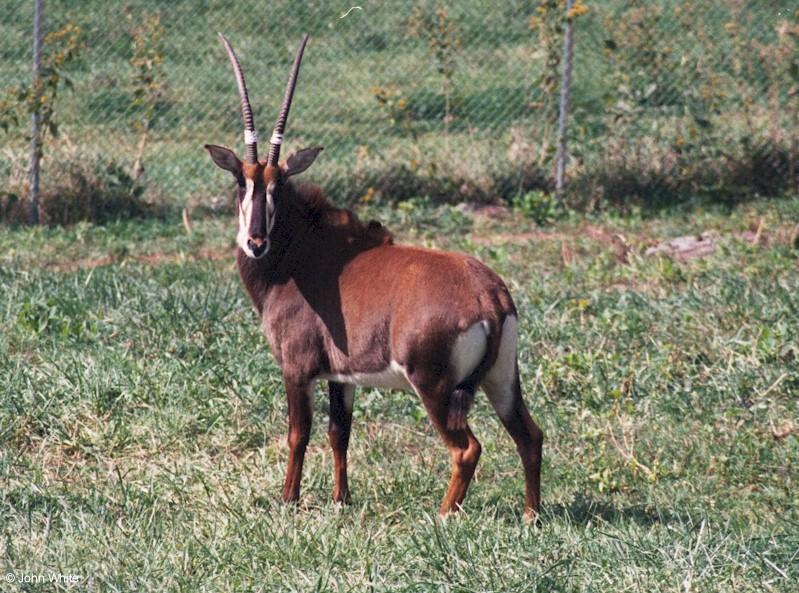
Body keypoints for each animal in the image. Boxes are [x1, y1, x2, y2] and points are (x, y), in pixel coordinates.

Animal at [205, 34, 544, 520]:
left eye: (277, 186)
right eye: (242, 182)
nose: (255, 242)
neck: (302, 255)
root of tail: (491, 298)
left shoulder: (297, 369)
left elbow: (298, 434)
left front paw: (288, 500)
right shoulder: (342, 377)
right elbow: (339, 433)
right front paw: (340, 500)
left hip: (432, 385)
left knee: (466, 448)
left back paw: (444, 515)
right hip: (502, 379)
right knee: (529, 436)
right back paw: (532, 515)